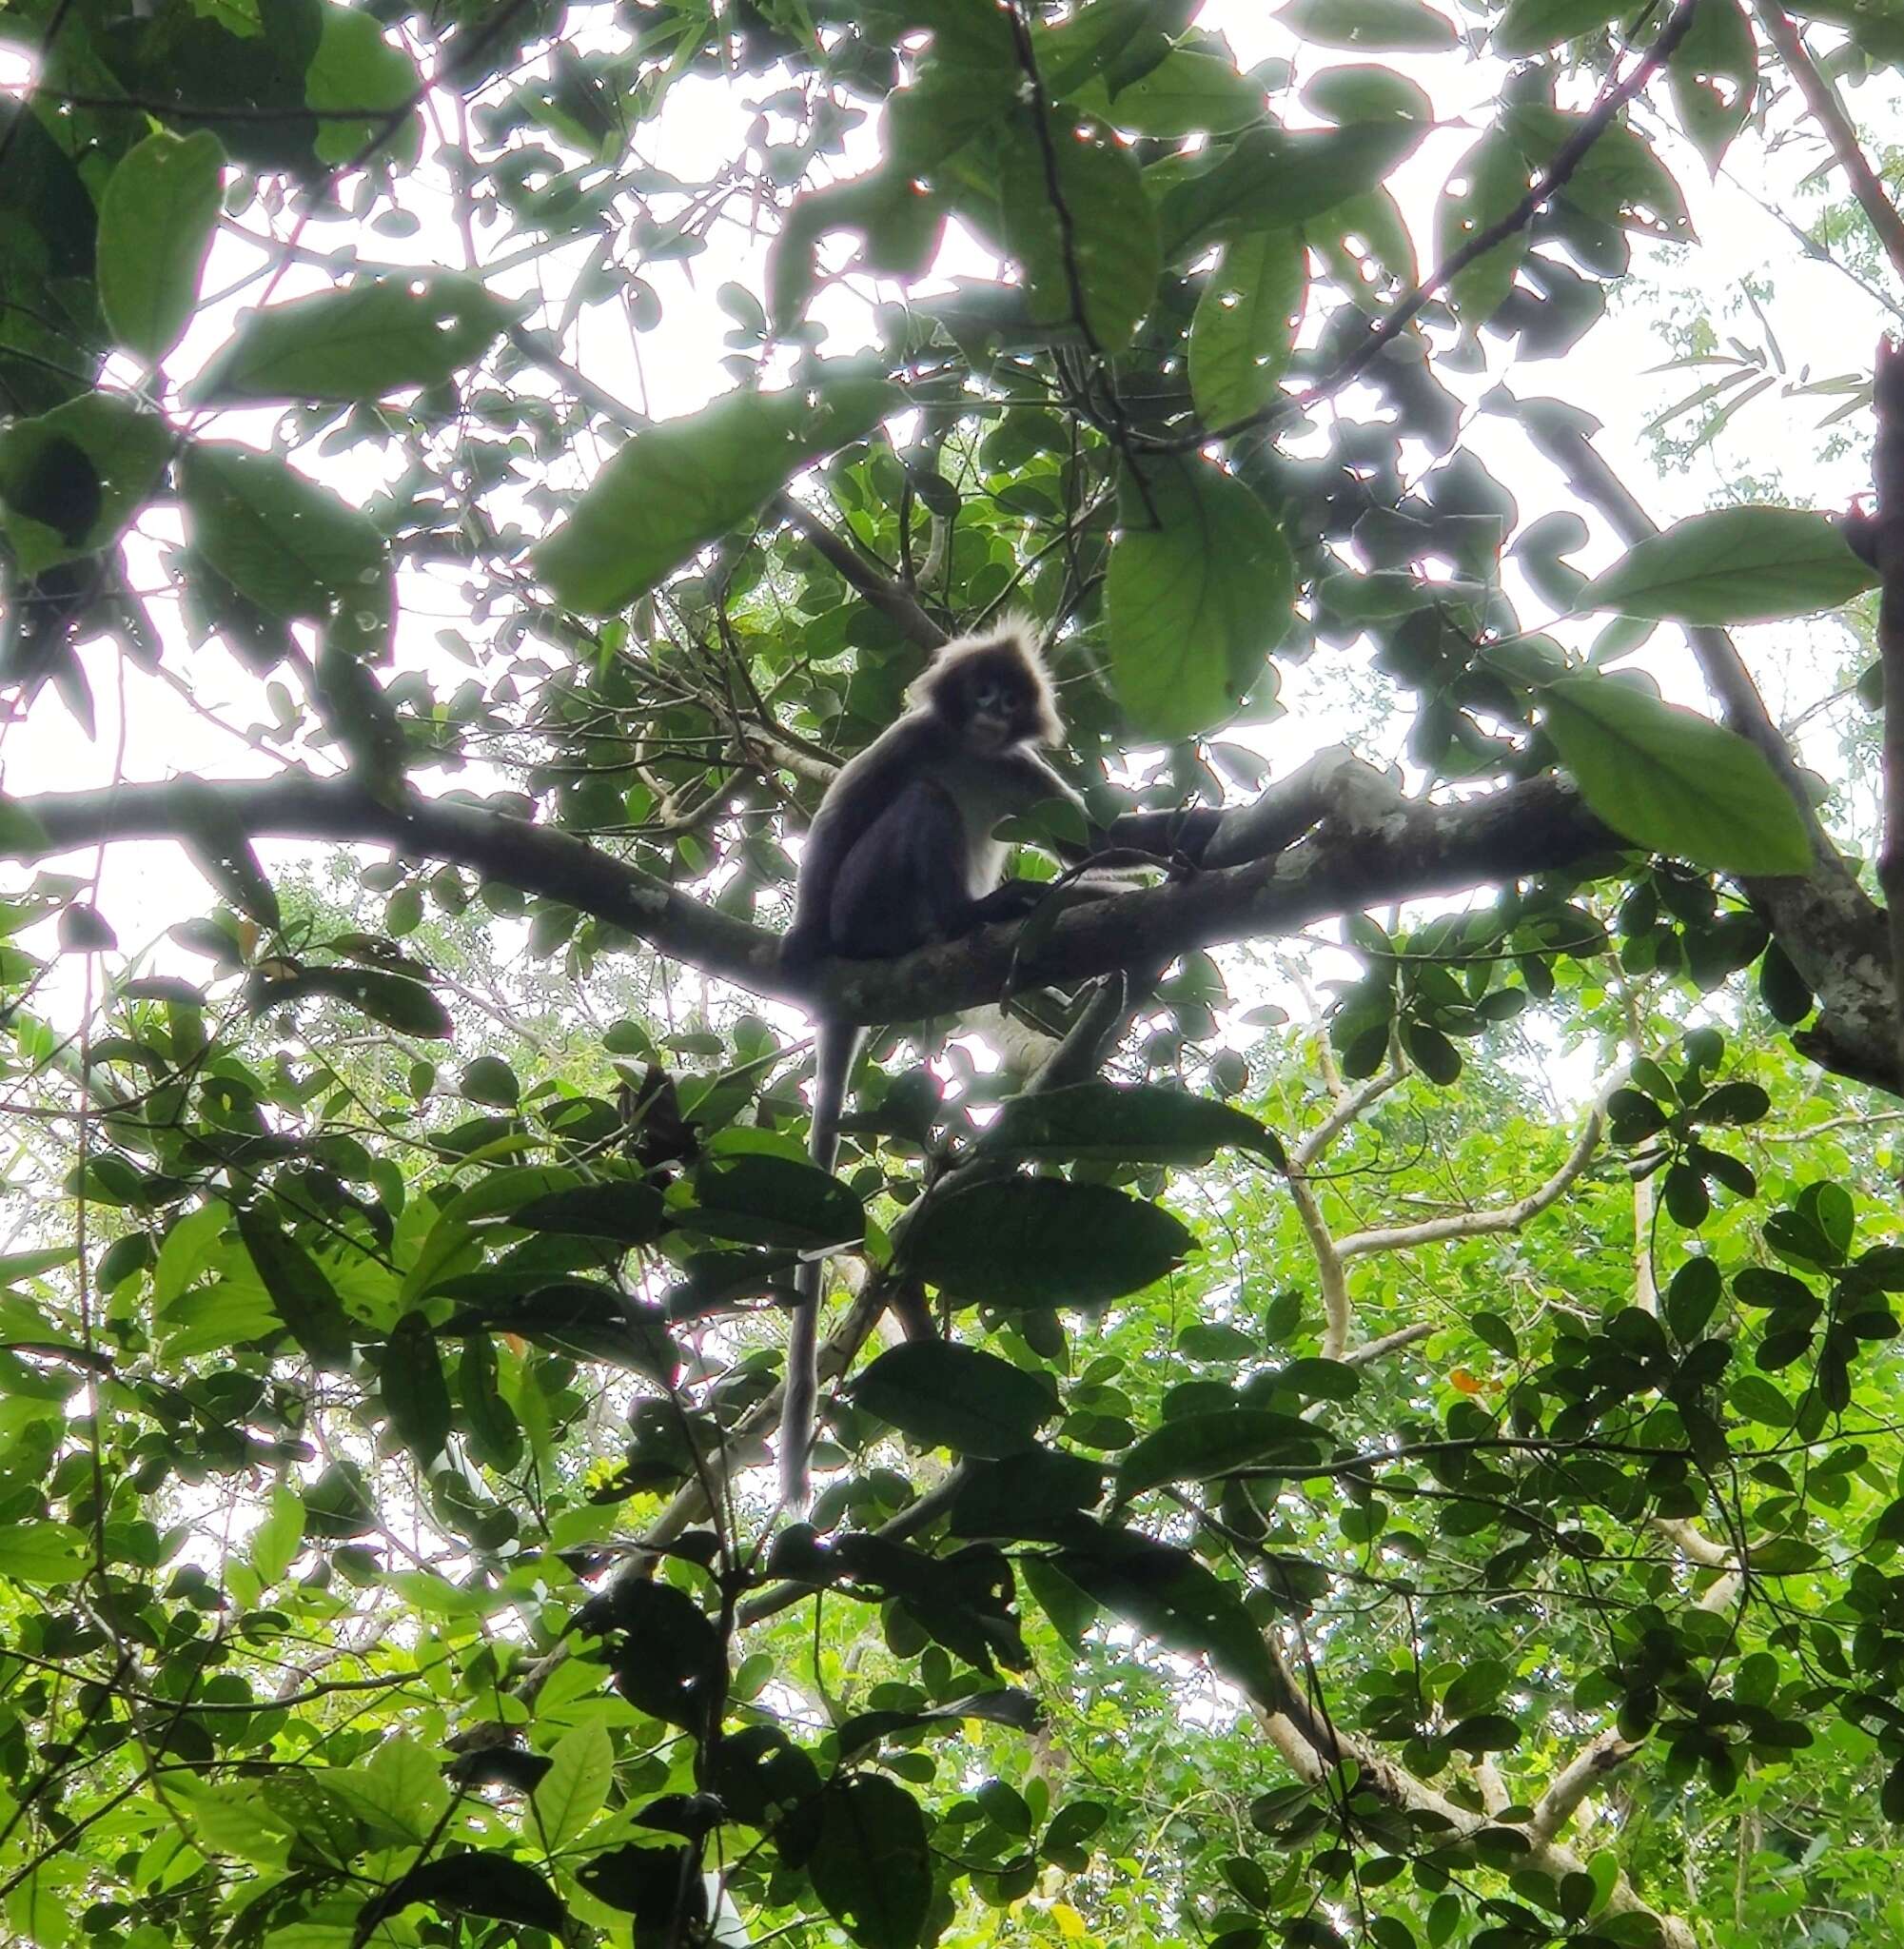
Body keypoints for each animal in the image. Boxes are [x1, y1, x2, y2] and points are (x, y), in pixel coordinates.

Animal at [775, 620, 1083, 1505]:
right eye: (981, 687)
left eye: (1010, 697)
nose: (991, 709)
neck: (968, 748)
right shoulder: (912, 738)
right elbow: (841, 812)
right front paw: (796, 940)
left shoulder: (1017, 766)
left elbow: (1091, 836)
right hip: (862, 903)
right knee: (923, 802)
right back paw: (954, 919)